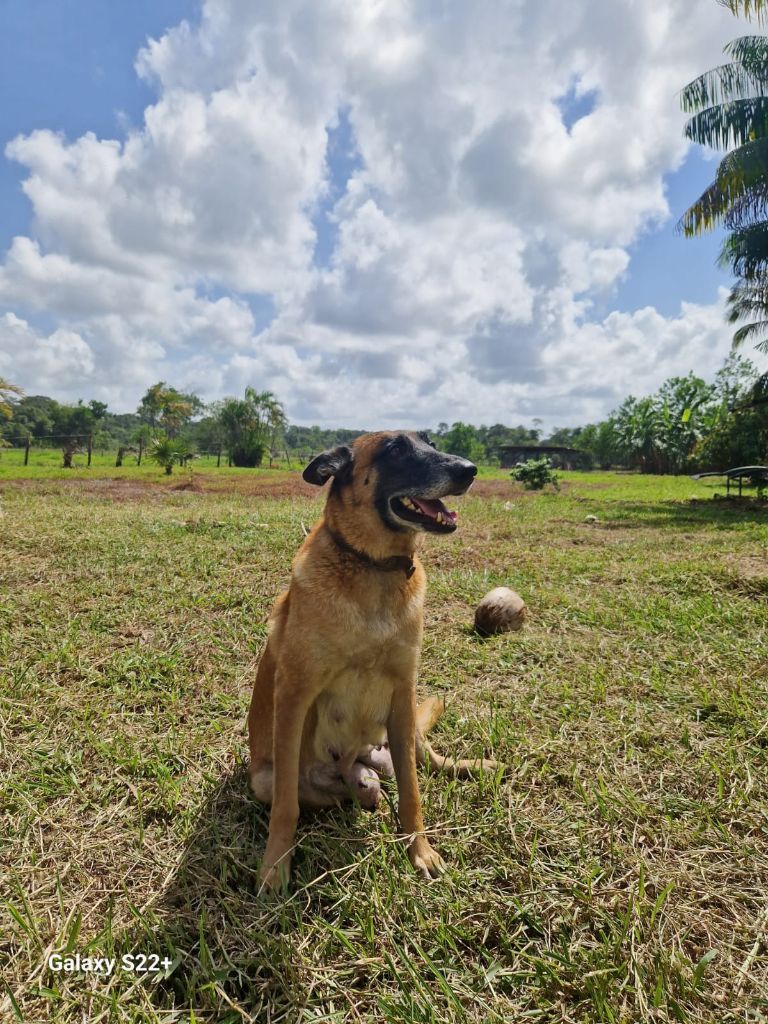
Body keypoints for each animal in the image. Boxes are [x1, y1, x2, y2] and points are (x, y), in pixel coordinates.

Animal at [246, 428, 499, 892]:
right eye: (395, 449)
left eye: (431, 442)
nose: (469, 470)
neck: (374, 567)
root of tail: (354, 763)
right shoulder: (294, 697)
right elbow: (287, 807)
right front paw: (275, 866)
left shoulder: (402, 691)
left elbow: (413, 792)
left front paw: (420, 850)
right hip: (265, 779)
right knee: (332, 794)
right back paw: (363, 791)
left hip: (402, 729)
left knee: (423, 760)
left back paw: (468, 767)